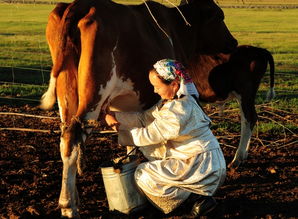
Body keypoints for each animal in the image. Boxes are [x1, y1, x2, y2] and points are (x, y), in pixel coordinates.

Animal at [39, 0, 251, 216]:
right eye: (220, 16)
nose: (233, 42)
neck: (176, 28)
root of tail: (79, 5)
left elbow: (130, 139)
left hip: (66, 96)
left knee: (65, 141)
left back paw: (74, 199)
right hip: (94, 93)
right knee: (73, 139)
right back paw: (68, 206)